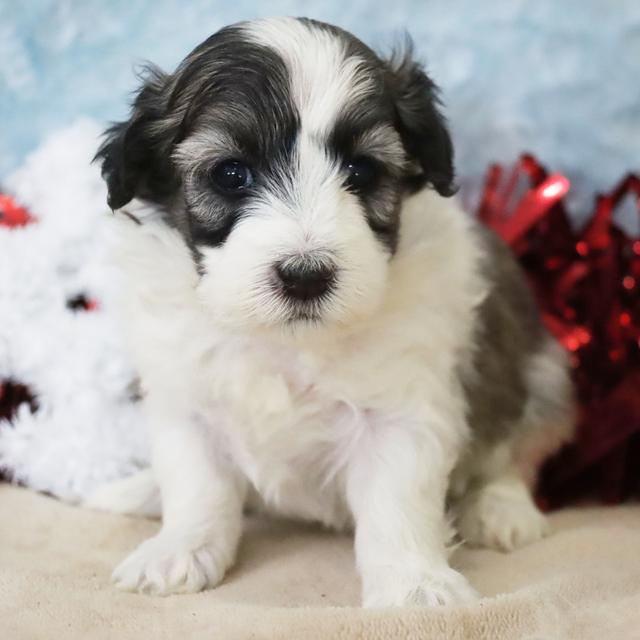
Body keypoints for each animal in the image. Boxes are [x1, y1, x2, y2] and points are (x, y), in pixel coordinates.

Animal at [86, 17, 576, 608]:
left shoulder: (401, 409)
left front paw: (416, 585)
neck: (286, 341)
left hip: (542, 371)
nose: (305, 275)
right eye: (230, 174)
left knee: (514, 451)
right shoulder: (185, 400)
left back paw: (501, 510)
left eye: (361, 171)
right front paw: (179, 549)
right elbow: (197, 486)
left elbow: (397, 502)